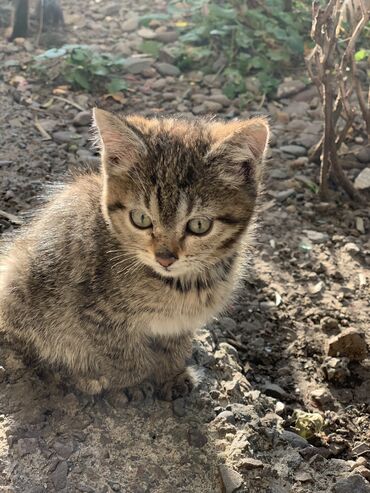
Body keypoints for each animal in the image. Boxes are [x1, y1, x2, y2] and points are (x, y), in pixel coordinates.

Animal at [0, 109, 268, 398]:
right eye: (140, 219)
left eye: (199, 225)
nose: (165, 257)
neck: (183, 284)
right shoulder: (97, 316)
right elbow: (124, 356)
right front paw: (134, 384)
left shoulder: (179, 323)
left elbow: (174, 346)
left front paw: (172, 373)